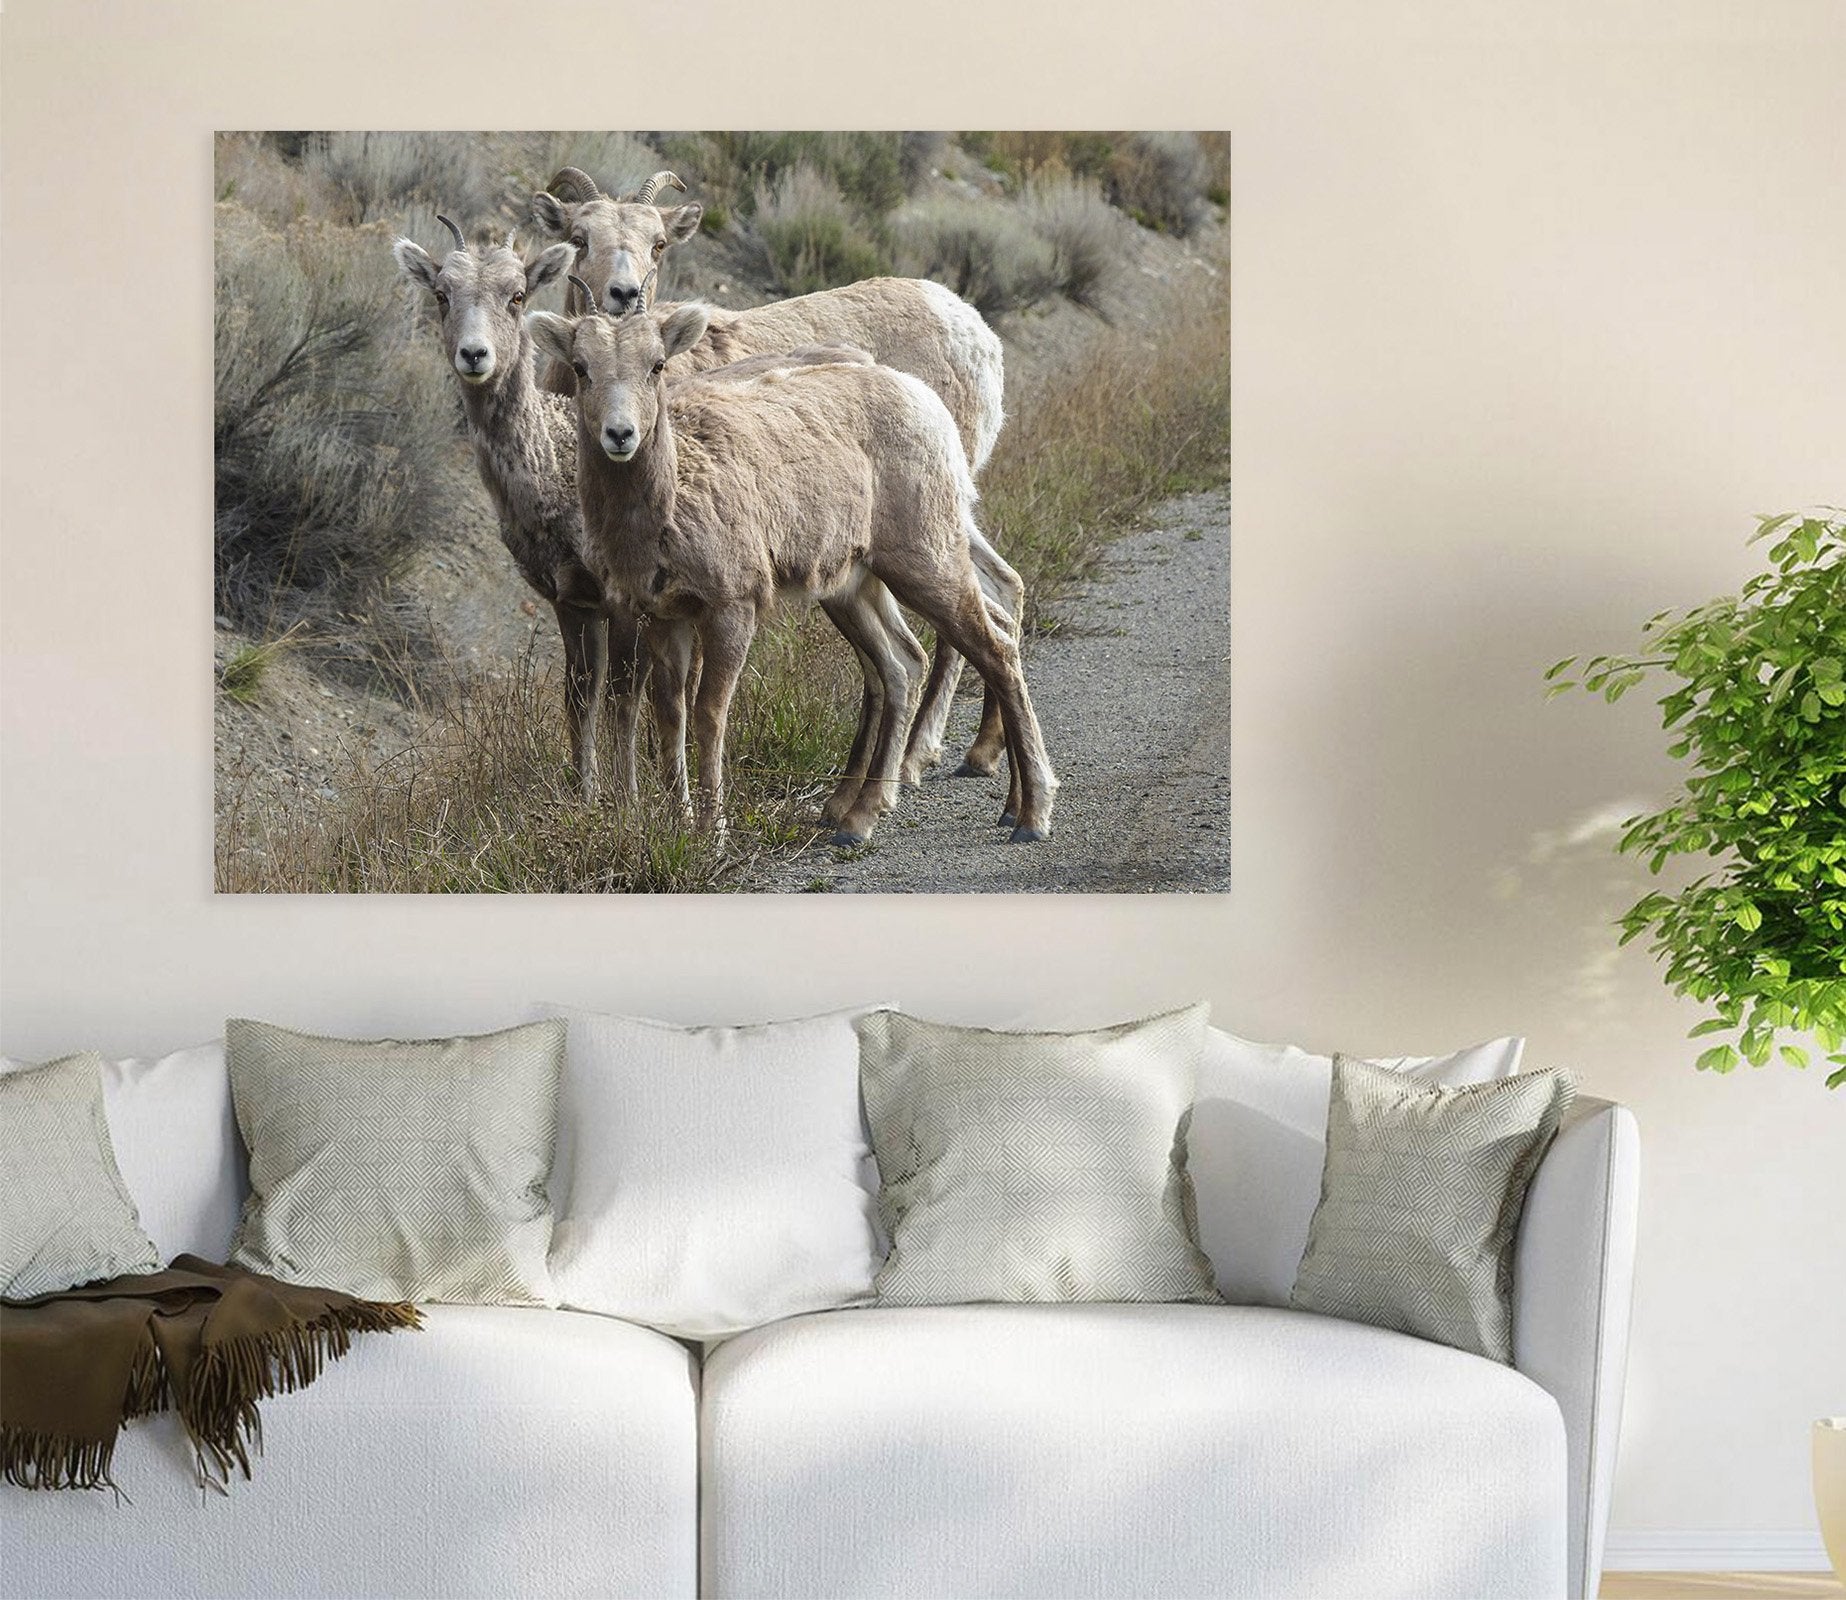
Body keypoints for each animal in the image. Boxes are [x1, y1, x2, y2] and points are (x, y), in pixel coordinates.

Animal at [527, 300, 1057, 848]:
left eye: (656, 365)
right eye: (581, 368)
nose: (620, 435)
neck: (667, 507)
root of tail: (927, 403)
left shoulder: (732, 607)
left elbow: (709, 714)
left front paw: (713, 832)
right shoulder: (663, 616)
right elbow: (670, 715)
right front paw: (680, 825)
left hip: (926, 560)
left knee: (995, 650)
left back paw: (1029, 814)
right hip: (853, 585)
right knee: (903, 663)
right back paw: (859, 818)